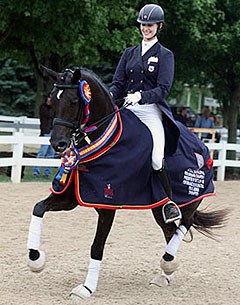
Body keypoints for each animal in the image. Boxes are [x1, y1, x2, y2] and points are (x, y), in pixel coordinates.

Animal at [26, 66, 229, 300]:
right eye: (52, 99)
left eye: (74, 101)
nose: (57, 144)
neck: (105, 139)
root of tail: (203, 146)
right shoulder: (71, 197)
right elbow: (38, 208)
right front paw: (35, 259)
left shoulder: (108, 205)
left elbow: (97, 246)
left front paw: (86, 288)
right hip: (158, 207)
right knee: (170, 230)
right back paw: (165, 274)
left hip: (190, 200)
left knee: (183, 225)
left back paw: (168, 263)